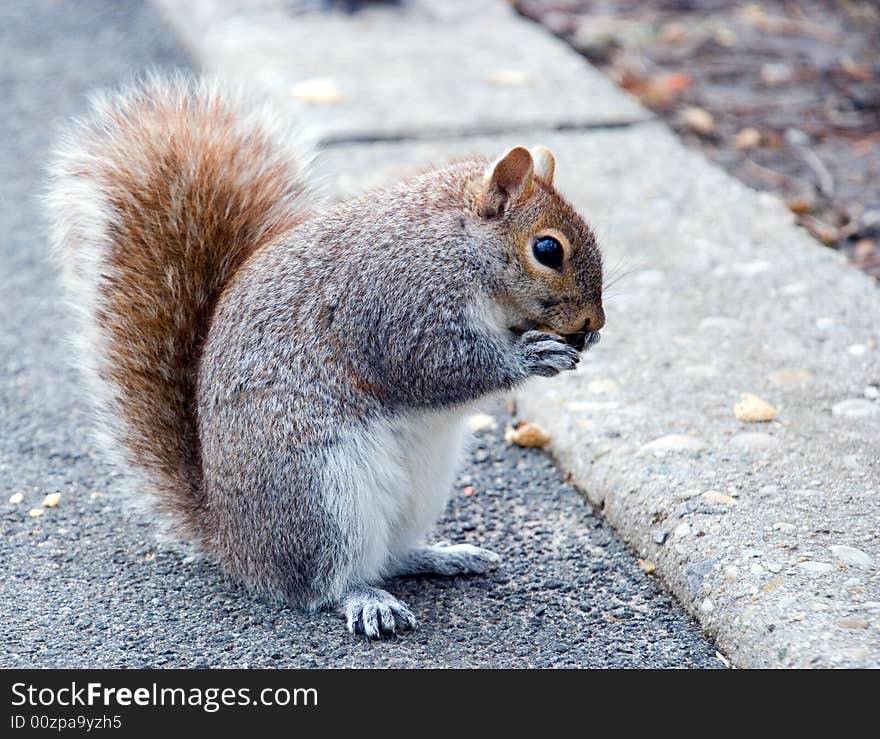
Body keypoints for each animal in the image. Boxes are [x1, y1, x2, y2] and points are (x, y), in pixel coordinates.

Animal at [49, 76, 604, 640]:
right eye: (547, 250)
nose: (593, 325)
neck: (454, 242)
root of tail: (233, 543)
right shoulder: (397, 304)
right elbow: (435, 366)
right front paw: (532, 356)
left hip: (420, 486)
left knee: (390, 556)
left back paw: (442, 555)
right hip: (319, 490)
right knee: (324, 581)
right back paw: (366, 599)